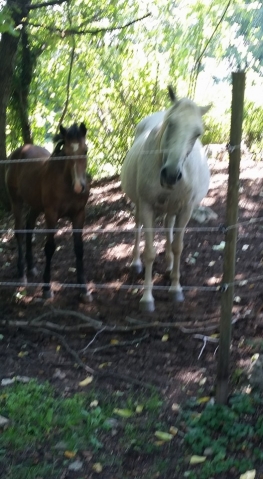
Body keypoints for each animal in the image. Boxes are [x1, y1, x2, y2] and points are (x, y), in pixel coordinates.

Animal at [5, 122, 92, 302]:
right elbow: (50, 248)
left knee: (29, 228)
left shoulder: (79, 214)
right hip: (17, 202)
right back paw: (22, 272)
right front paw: (46, 288)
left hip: (35, 206)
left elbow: (79, 248)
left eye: (85, 150)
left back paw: (31, 267)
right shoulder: (51, 215)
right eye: (66, 152)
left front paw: (84, 288)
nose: (79, 187)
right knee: (20, 232)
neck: (66, 183)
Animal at [120, 85, 211, 312]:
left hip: (172, 208)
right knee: (138, 227)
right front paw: (147, 298)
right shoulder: (146, 206)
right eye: (171, 123)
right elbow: (150, 252)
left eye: (198, 133)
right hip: (139, 206)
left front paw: (176, 288)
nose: (170, 175)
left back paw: (169, 265)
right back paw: (136, 263)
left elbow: (178, 247)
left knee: (168, 226)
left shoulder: (186, 209)